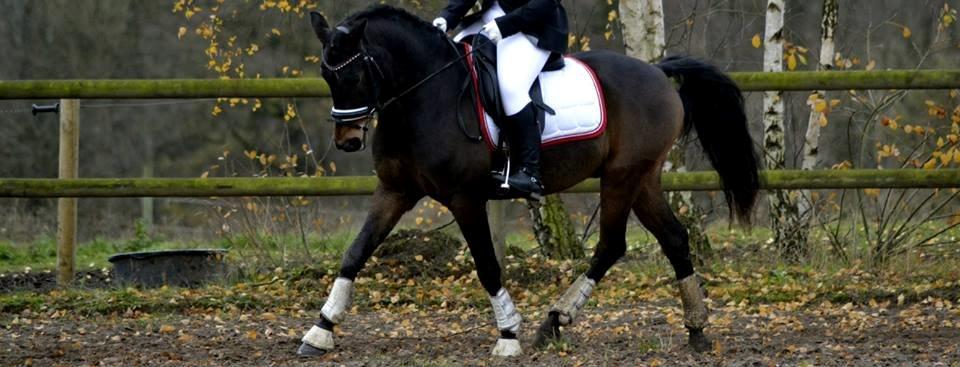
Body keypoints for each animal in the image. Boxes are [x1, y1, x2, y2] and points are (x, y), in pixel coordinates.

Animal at [296, 4, 760, 358]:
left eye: (354, 76)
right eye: (326, 75)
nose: (348, 141)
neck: (425, 95)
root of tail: (658, 72)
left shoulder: (464, 198)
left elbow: (486, 264)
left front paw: (508, 335)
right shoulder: (395, 191)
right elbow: (356, 252)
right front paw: (320, 330)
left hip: (622, 176)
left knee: (612, 245)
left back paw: (555, 320)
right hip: (642, 178)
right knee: (673, 239)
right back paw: (694, 329)